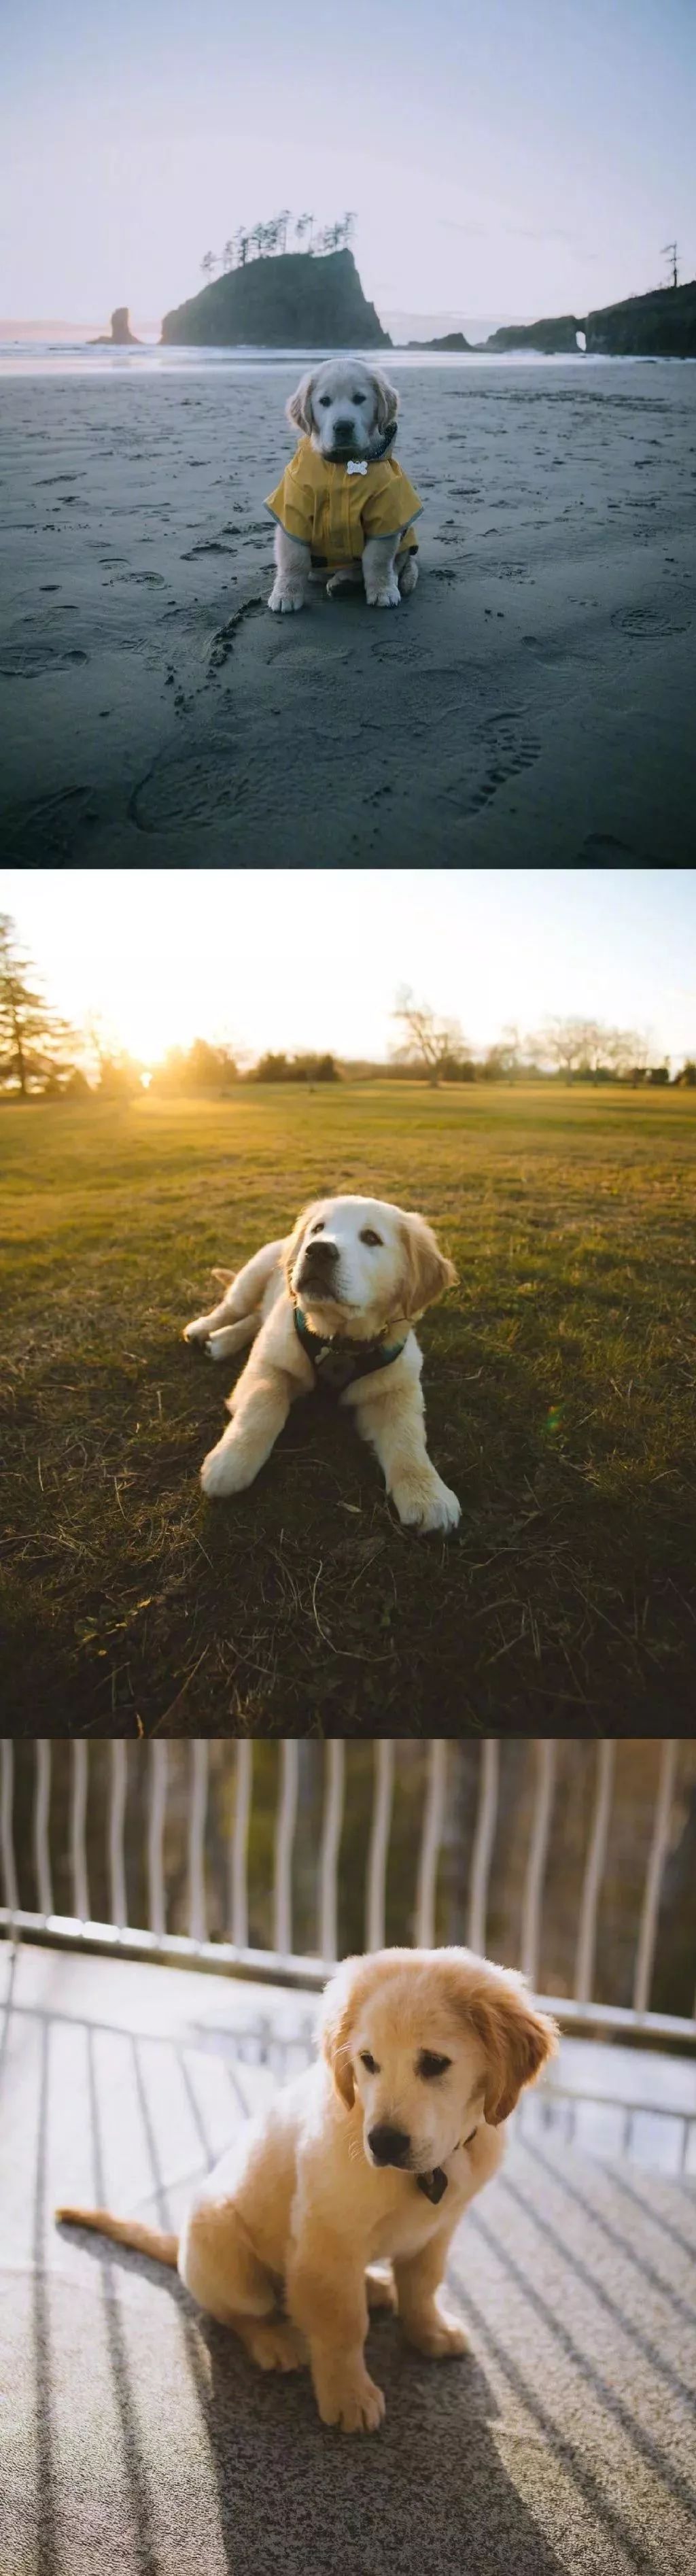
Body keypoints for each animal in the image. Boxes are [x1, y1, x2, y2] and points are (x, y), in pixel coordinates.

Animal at [56, 1947, 557, 2431]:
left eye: (434, 2063)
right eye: (368, 2061)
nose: (383, 2143)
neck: (435, 2166)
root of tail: (180, 2246)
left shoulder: (438, 2228)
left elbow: (422, 2285)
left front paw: (428, 2331)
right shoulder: (328, 2238)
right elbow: (342, 2323)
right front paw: (348, 2393)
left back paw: (374, 2285)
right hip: (223, 2246)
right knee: (240, 2312)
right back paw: (274, 2340)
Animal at [183, 1190, 461, 1525]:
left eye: (371, 1238)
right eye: (318, 1228)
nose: (317, 1250)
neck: (339, 1339)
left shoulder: (396, 1389)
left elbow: (407, 1435)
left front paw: (427, 1493)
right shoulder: (269, 1363)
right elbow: (262, 1405)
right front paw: (231, 1462)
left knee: (256, 1317)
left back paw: (223, 1341)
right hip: (252, 1278)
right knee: (234, 1308)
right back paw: (204, 1329)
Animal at [264, 358, 420, 613]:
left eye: (359, 398)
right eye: (324, 401)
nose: (343, 427)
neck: (342, 465)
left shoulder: (386, 516)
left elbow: (377, 560)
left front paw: (383, 591)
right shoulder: (292, 513)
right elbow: (293, 560)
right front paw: (286, 593)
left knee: (395, 565)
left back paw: (345, 581)